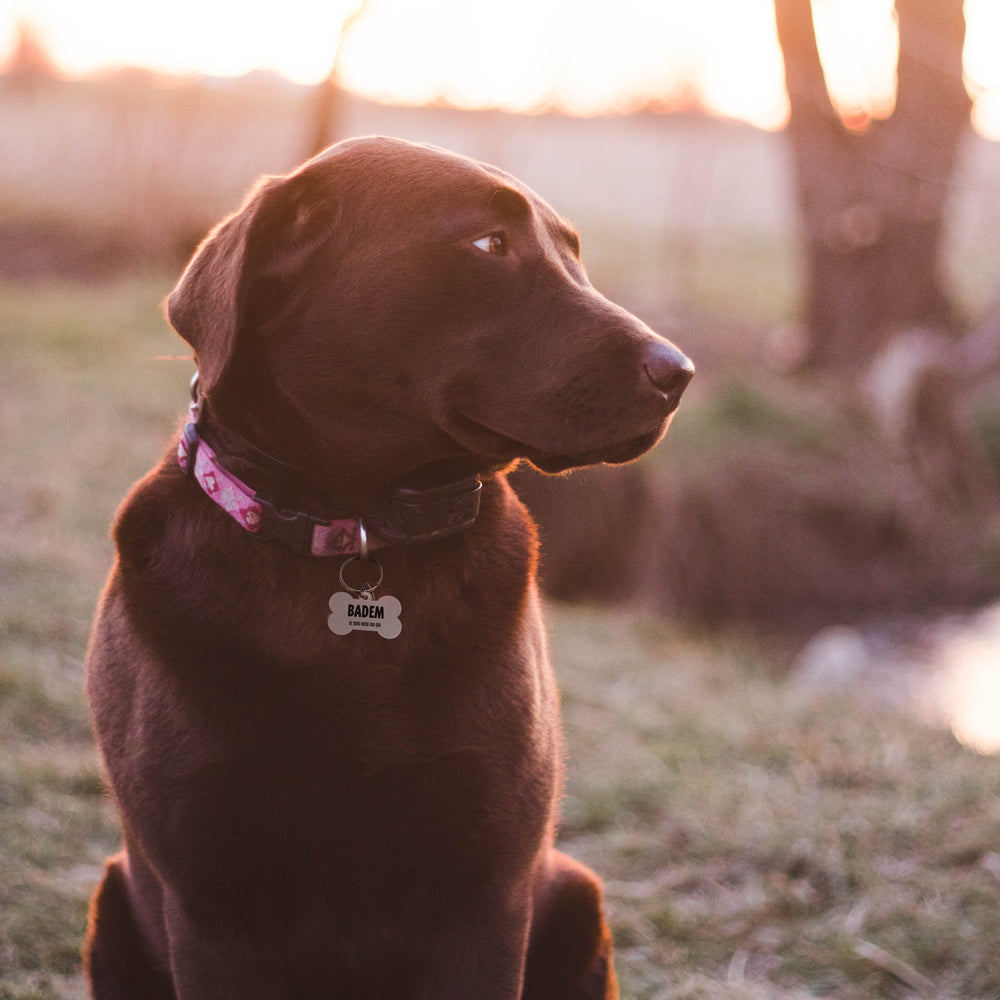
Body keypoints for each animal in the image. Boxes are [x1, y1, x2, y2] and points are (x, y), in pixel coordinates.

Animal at [82, 135, 692, 1000]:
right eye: (488, 244)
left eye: (573, 253)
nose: (679, 373)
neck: (357, 532)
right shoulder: (211, 904)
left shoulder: (484, 892)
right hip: (114, 898)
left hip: (575, 891)